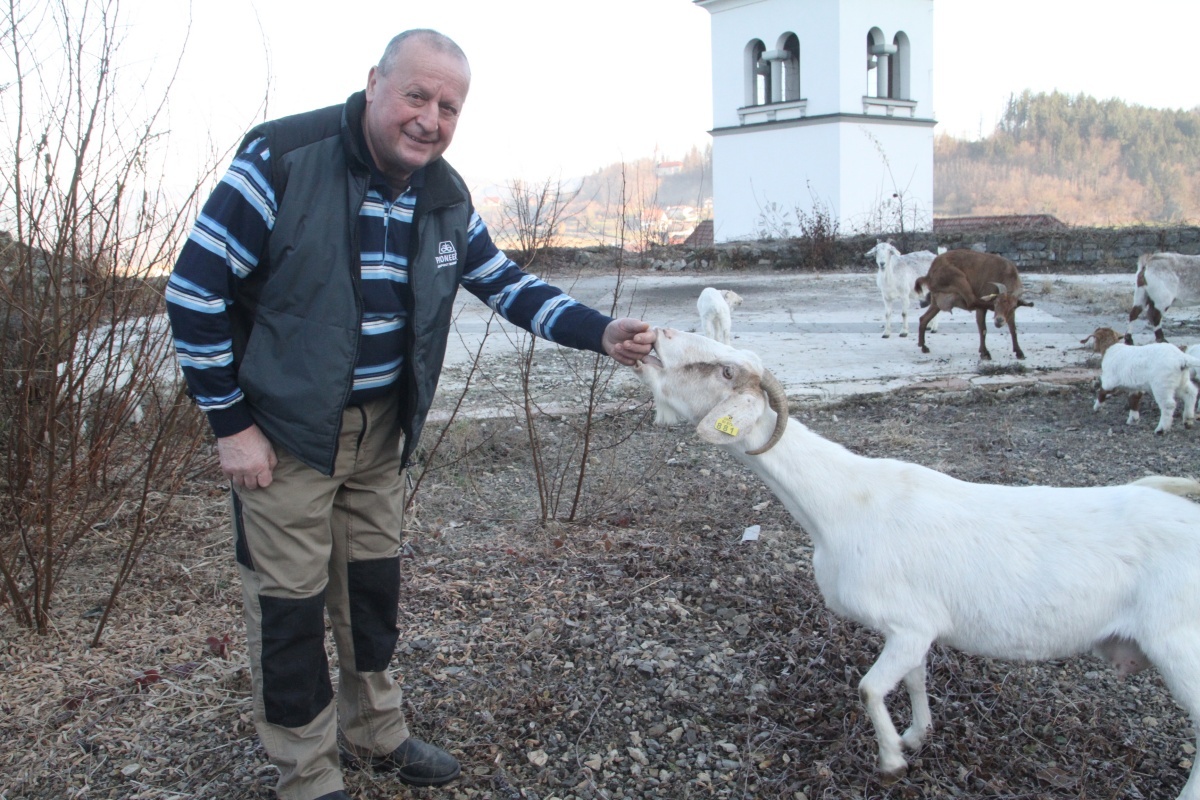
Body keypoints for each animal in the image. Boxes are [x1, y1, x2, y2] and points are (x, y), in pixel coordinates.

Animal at [638, 326, 1200, 800]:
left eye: (725, 370)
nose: (656, 336)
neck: (843, 504)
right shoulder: (913, 629)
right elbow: (913, 680)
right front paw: (916, 735)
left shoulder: (909, 626)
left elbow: (869, 688)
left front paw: (891, 762)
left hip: (1180, 647)